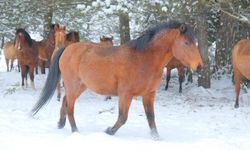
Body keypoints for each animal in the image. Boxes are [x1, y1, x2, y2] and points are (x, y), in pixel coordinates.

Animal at [31, 20, 203, 138]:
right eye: (186, 43)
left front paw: (157, 138)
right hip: (73, 85)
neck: (144, 59)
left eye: (195, 43)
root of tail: (66, 48)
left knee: (65, 102)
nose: (199, 67)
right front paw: (109, 131)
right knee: (70, 107)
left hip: (79, 86)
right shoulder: (125, 94)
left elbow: (151, 118)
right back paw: (75, 131)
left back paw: (61, 124)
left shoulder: (149, 94)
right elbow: (123, 118)